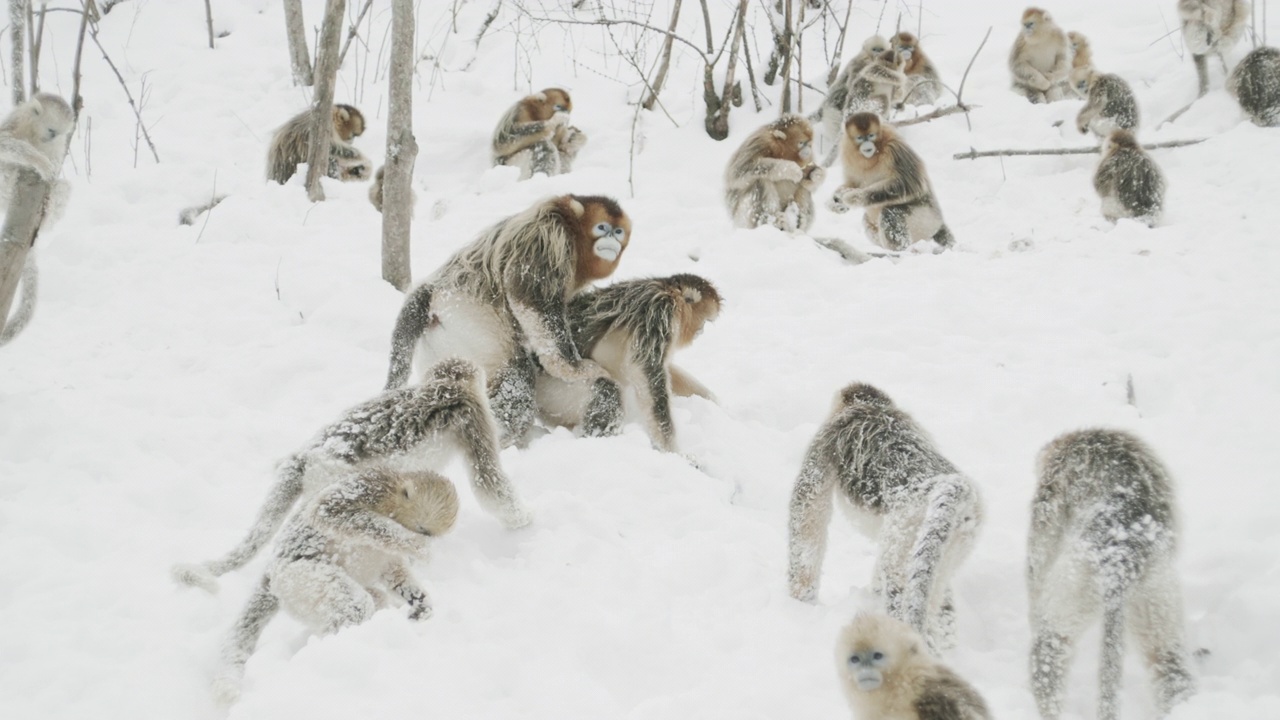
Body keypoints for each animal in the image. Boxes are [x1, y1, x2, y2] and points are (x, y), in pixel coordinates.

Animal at [386, 193, 632, 445]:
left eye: (618, 231)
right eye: (602, 228)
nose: (612, 239)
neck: (571, 226)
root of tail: (431, 291)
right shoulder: (548, 238)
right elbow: (534, 301)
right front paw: (578, 368)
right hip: (467, 317)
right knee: (517, 373)